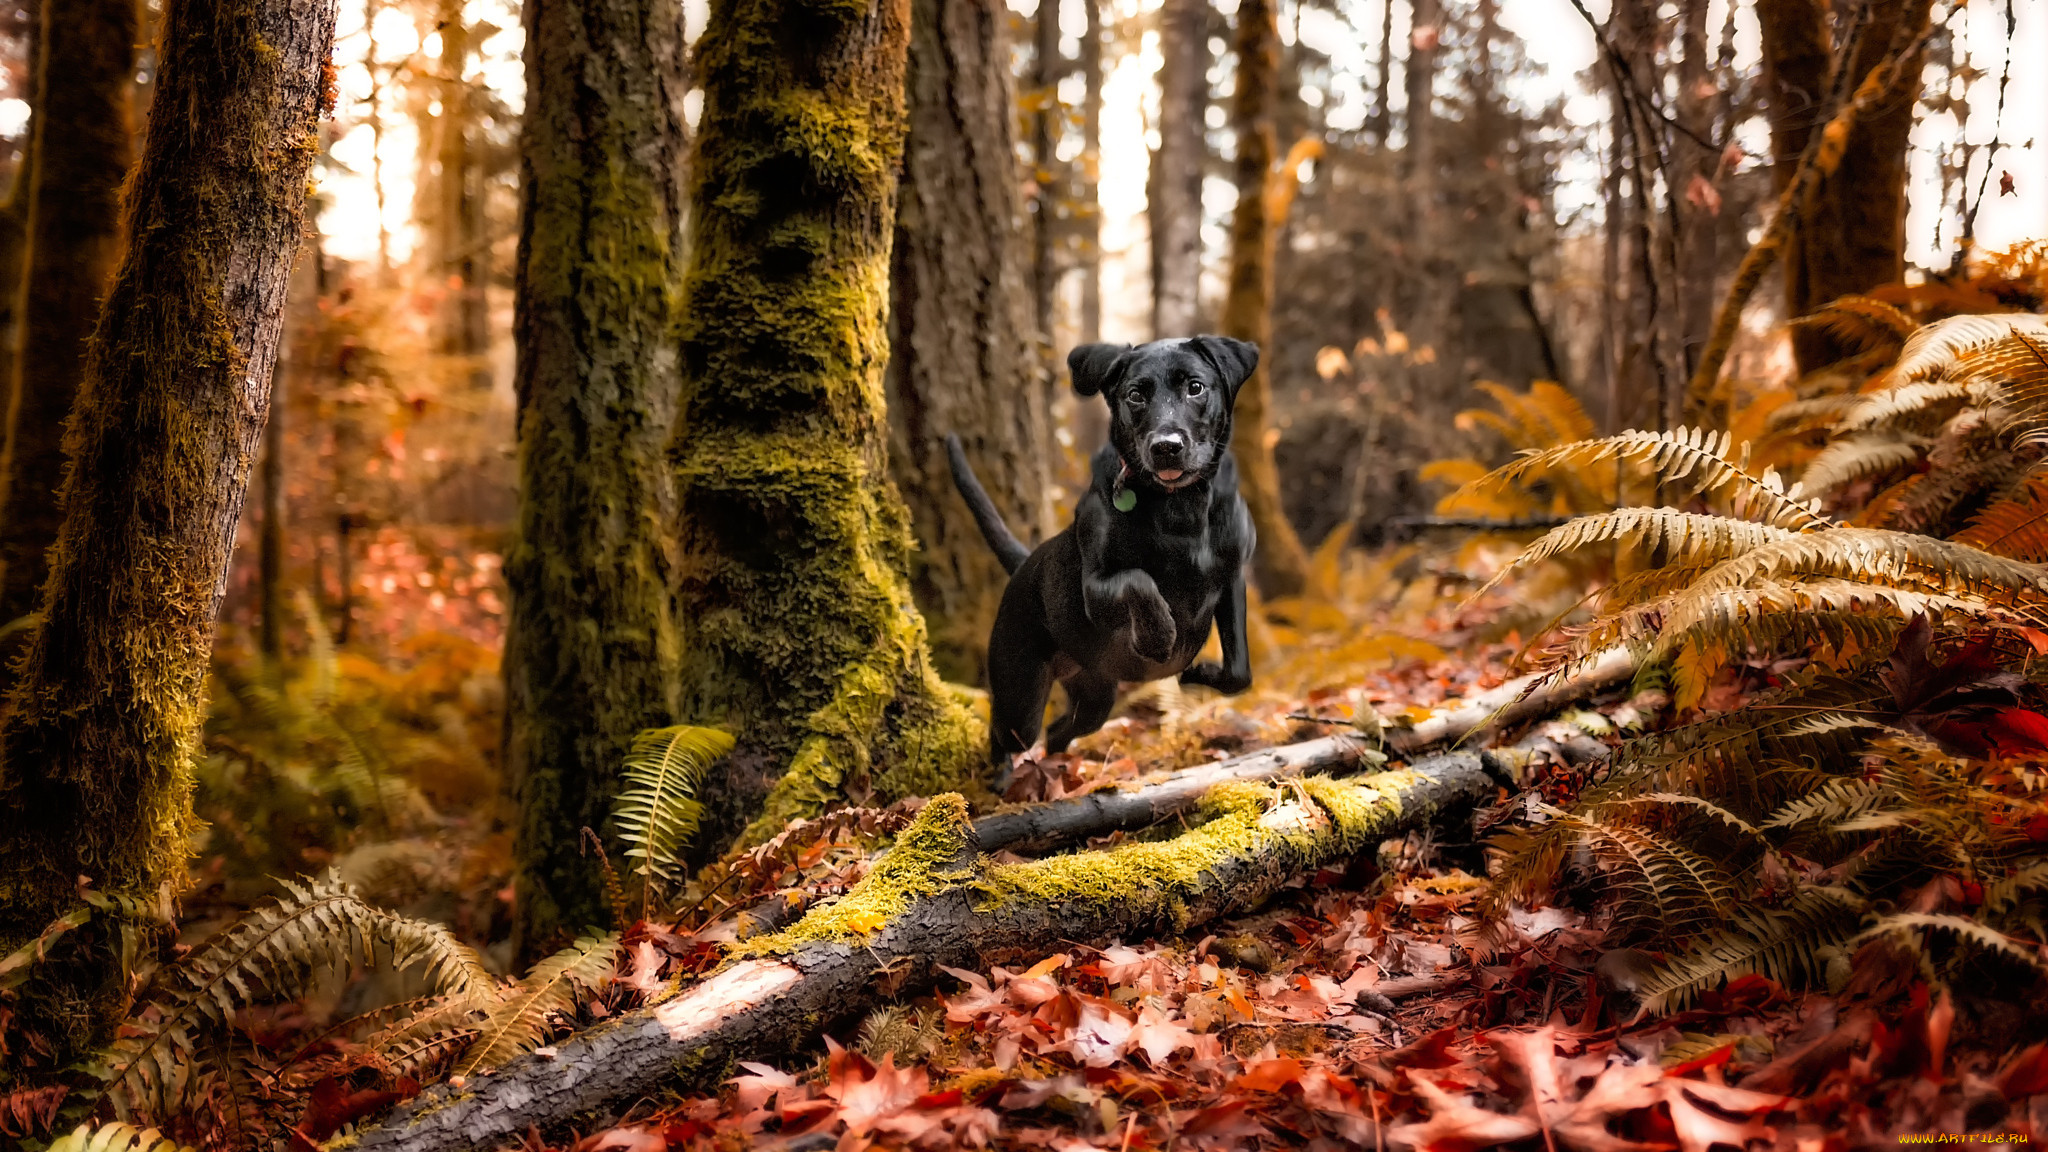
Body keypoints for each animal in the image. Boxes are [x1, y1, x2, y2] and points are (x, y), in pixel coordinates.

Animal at [946, 336, 1261, 774]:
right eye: (1135, 395)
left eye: (1195, 387)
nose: (1166, 448)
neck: (1179, 507)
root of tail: (1024, 565)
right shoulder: (1095, 590)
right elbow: (1139, 581)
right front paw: (1159, 639)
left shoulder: (1231, 576)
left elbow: (1239, 672)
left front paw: (1197, 672)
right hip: (1021, 689)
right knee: (1006, 733)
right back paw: (1003, 777)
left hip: (1094, 695)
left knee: (1058, 731)